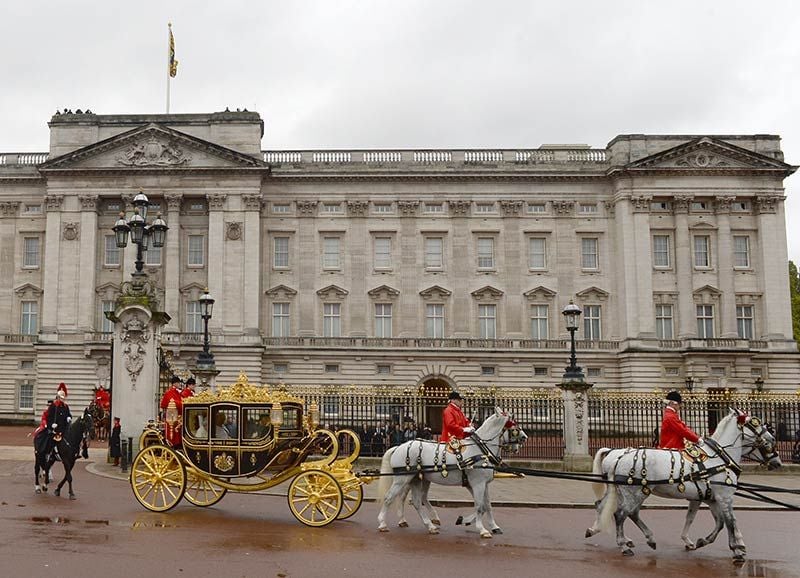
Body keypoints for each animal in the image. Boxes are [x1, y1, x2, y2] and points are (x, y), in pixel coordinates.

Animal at [378, 408, 528, 536]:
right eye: (514, 426)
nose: (525, 437)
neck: (480, 449)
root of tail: (399, 447)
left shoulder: (483, 484)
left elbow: (487, 506)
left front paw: (492, 526)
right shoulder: (477, 483)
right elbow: (480, 506)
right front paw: (481, 529)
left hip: (417, 479)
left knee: (417, 501)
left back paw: (430, 525)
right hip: (402, 479)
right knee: (389, 497)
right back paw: (383, 524)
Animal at [584, 408, 780, 560]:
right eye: (756, 424)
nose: (777, 462)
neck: (718, 458)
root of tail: (616, 455)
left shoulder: (709, 498)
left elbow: (715, 521)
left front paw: (699, 541)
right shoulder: (724, 497)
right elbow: (730, 521)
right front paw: (737, 550)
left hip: (628, 491)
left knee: (612, 508)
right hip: (635, 492)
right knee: (620, 514)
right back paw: (624, 545)